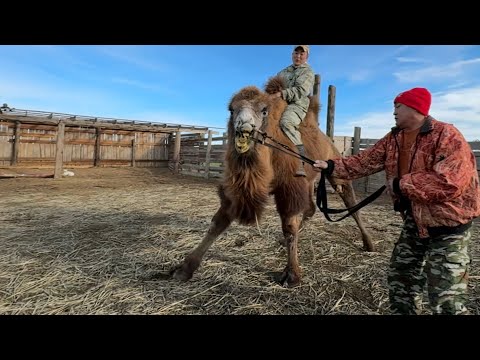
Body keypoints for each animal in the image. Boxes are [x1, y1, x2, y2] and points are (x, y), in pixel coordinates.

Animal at [170, 75, 376, 286]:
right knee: (311, 208)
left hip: (336, 172)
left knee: (351, 204)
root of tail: (329, 140)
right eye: (231, 109)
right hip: (310, 181)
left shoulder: (289, 188)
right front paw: (184, 268)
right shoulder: (235, 192)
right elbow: (217, 223)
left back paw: (369, 243)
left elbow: (289, 226)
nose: (243, 126)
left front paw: (292, 275)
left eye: (264, 110)